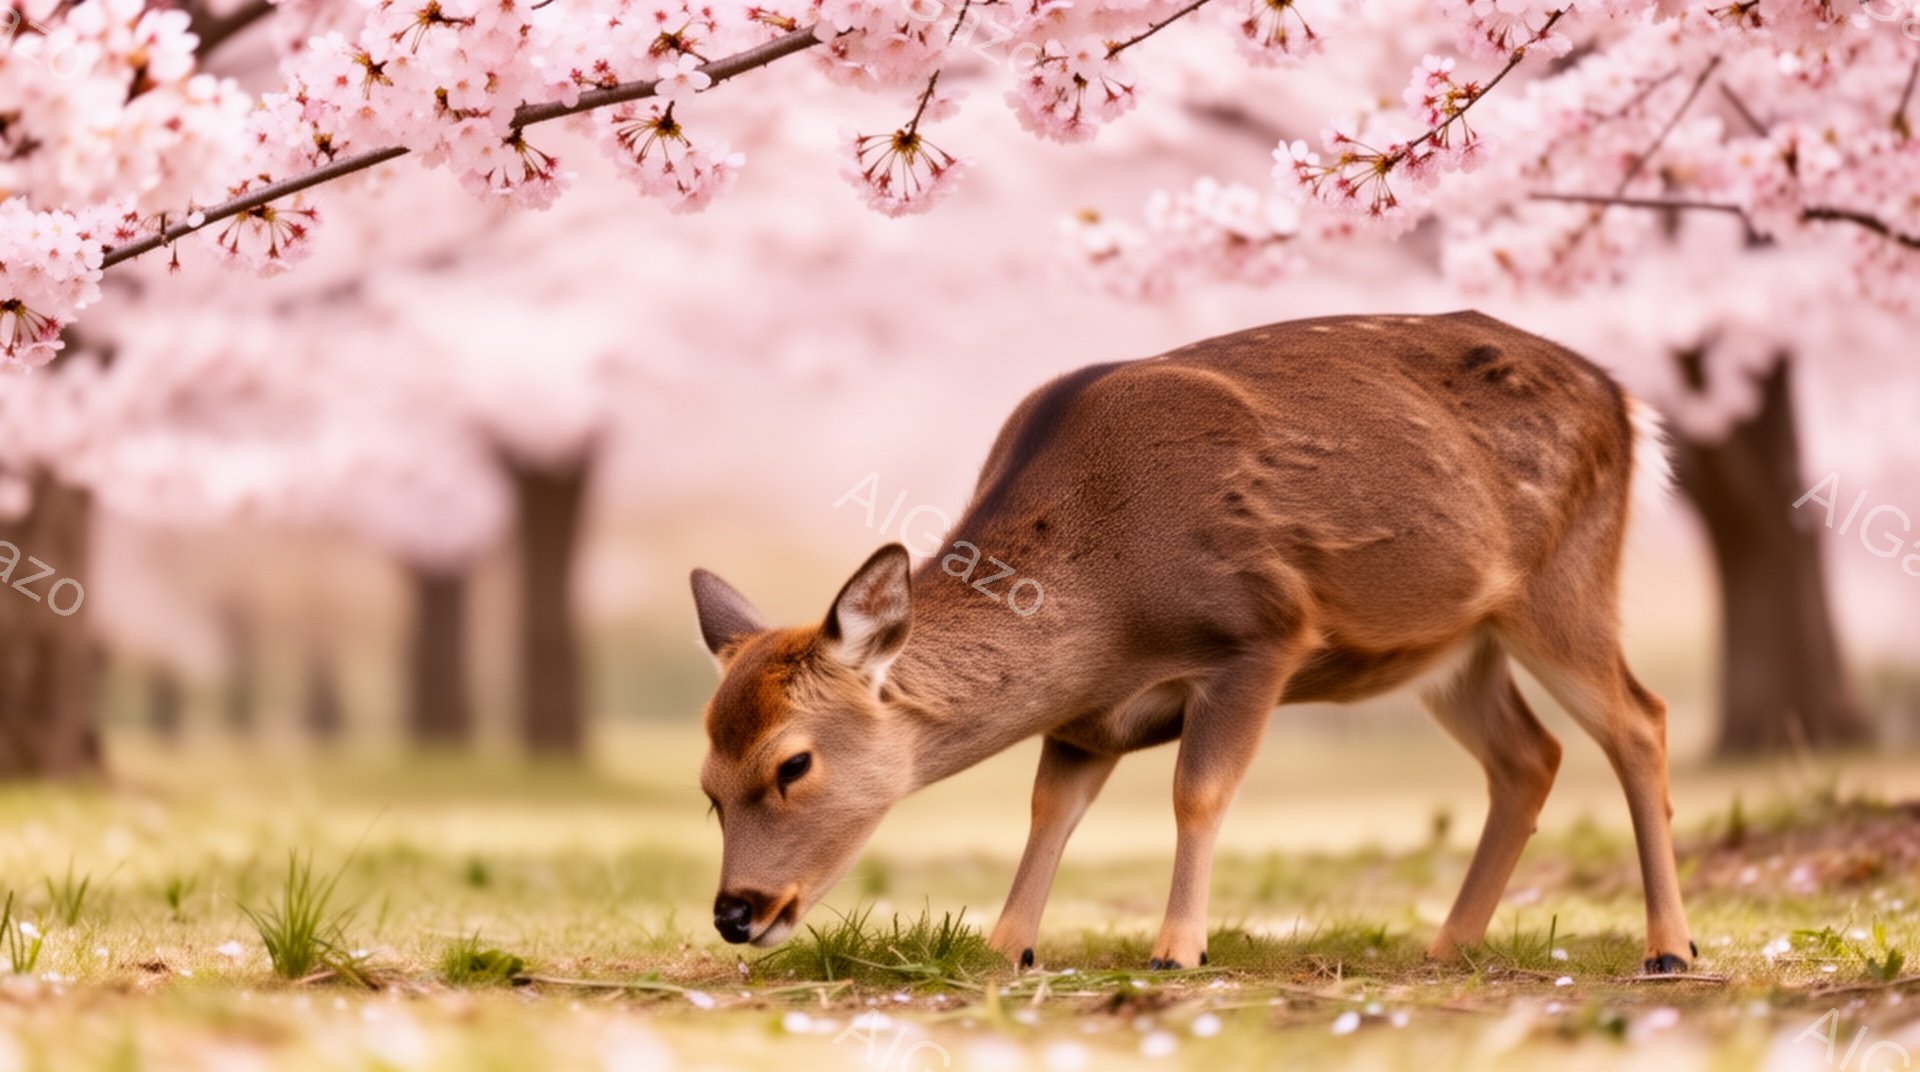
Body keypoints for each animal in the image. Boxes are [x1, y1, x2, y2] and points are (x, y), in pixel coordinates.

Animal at [690, 311, 1697, 975]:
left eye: (792, 764)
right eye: (707, 786)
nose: (736, 912)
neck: (1109, 616)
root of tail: (1627, 402)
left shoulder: (1262, 632)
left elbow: (1198, 791)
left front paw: (1176, 951)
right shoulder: (1086, 719)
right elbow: (1050, 809)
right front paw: (1008, 946)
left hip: (1563, 581)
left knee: (1641, 718)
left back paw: (1670, 949)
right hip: (1456, 645)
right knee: (1530, 755)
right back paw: (1448, 945)